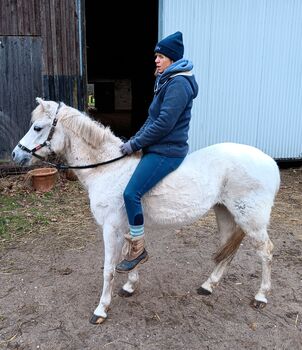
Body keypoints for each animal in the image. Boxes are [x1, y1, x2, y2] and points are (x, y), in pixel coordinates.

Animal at [11, 97, 280, 324]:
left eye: (37, 128)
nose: (15, 155)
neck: (106, 169)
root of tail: (270, 162)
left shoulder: (111, 228)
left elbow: (109, 268)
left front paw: (101, 309)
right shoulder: (125, 225)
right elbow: (131, 254)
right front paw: (130, 286)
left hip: (251, 220)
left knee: (265, 252)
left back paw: (261, 296)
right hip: (225, 213)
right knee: (228, 252)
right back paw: (208, 286)